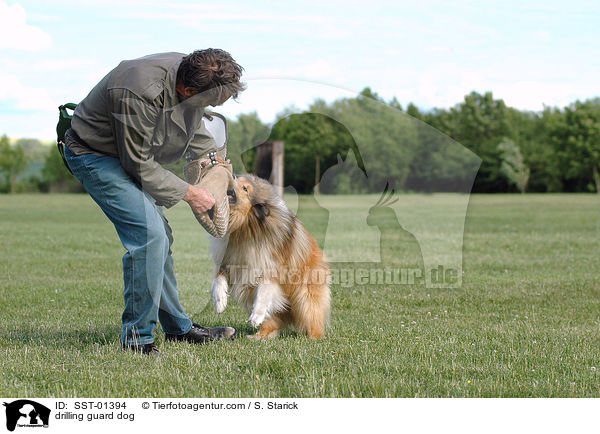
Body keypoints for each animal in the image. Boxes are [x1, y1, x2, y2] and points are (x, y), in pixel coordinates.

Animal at [210, 174, 332, 340]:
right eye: (238, 178)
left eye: (245, 188)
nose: (232, 175)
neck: (245, 226)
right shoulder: (228, 262)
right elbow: (218, 280)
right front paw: (220, 303)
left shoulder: (270, 270)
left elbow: (263, 292)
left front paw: (256, 317)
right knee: (274, 320)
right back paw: (259, 336)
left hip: (305, 295)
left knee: (313, 317)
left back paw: (313, 336)